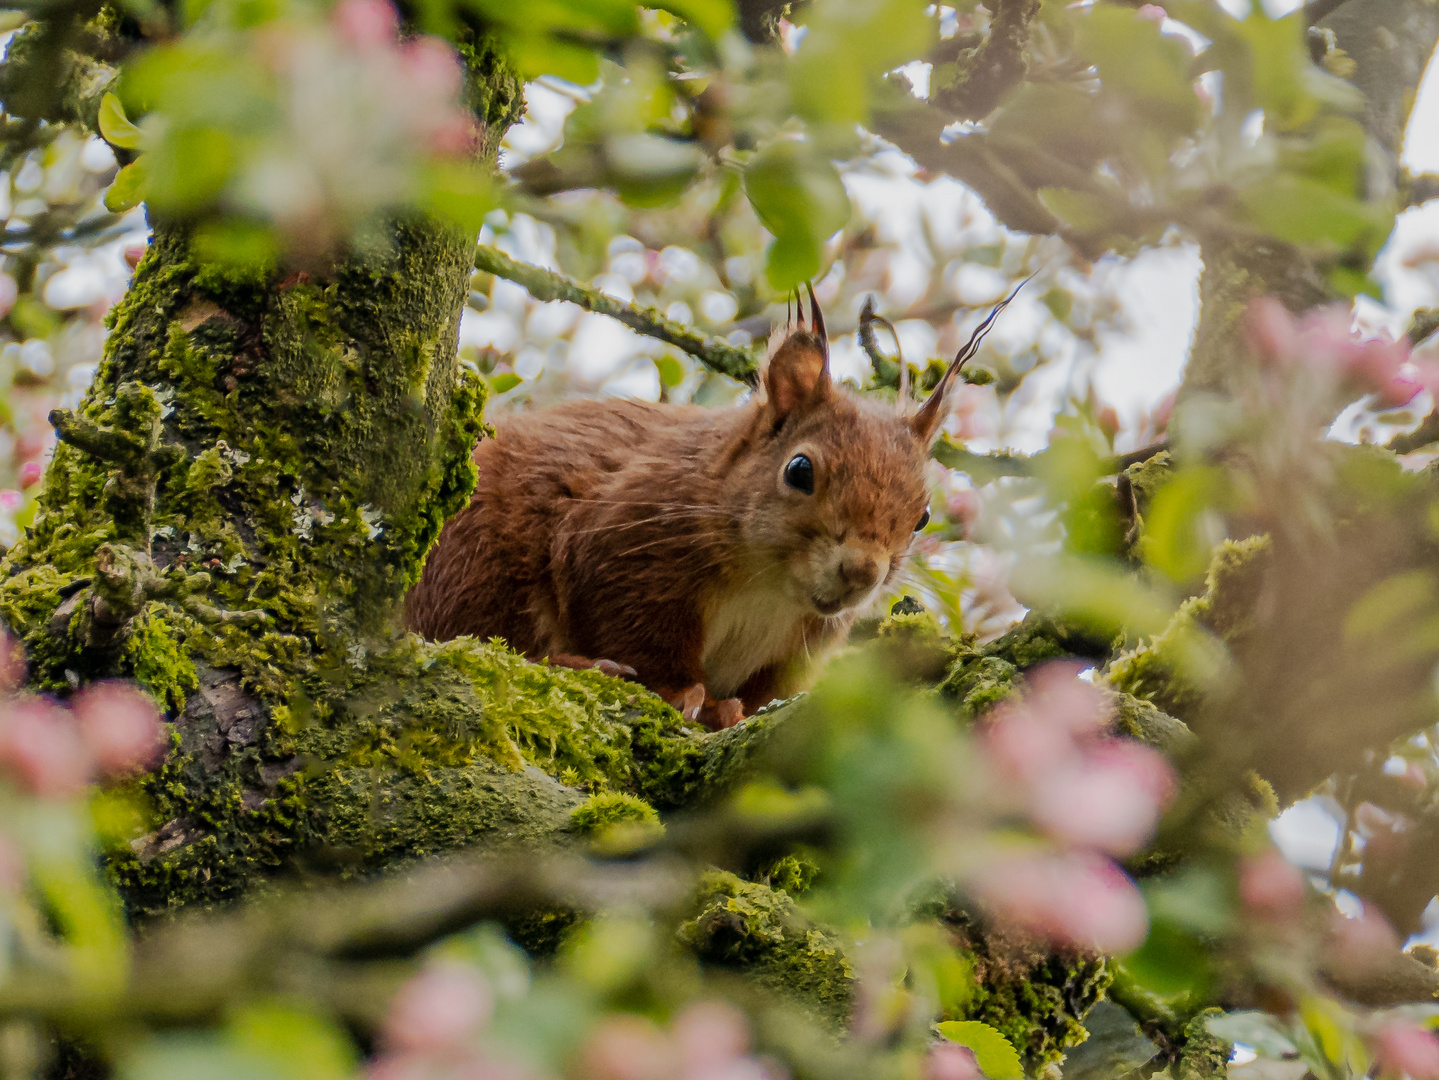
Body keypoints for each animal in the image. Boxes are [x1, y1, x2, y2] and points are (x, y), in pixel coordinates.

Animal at [400, 284, 1018, 727]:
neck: (771, 588)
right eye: (799, 470)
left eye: (923, 517)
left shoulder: (796, 650)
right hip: (474, 560)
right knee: (466, 633)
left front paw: (731, 710)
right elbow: (641, 635)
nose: (862, 573)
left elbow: (767, 691)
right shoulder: (626, 542)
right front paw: (684, 693)